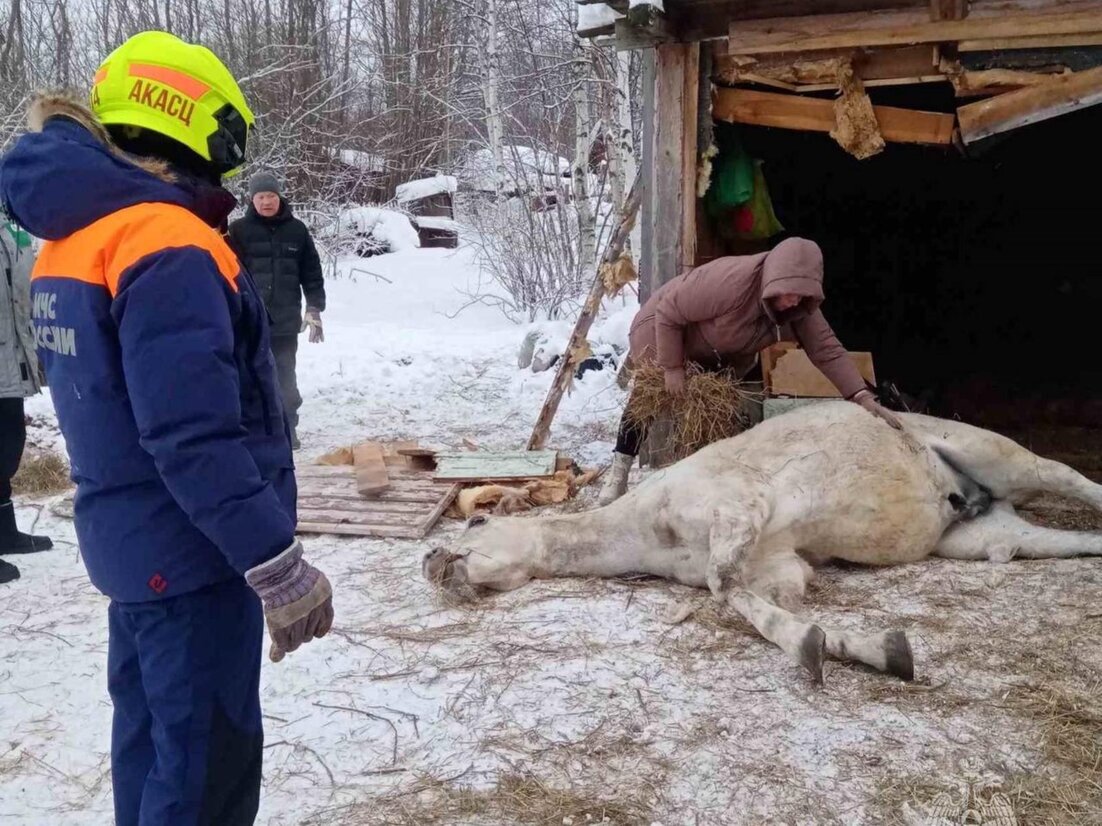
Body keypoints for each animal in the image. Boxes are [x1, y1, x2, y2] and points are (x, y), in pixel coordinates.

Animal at [420, 403, 1102, 687]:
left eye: (477, 525)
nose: (431, 561)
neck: (649, 529)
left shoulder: (741, 506)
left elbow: (724, 588)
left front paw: (819, 649)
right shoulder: (778, 567)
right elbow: (760, 602)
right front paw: (865, 649)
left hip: (1002, 456)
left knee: (1072, 479)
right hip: (985, 535)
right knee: (1073, 540)